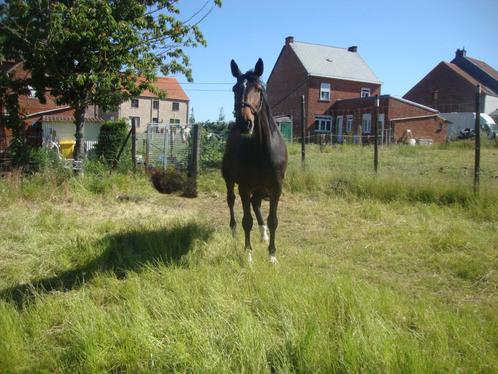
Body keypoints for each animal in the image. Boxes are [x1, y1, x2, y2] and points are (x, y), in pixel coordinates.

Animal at [223, 58, 288, 262]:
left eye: (259, 89)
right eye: (235, 88)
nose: (245, 124)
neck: (262, 149)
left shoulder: (275, 187)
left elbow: (273, 220)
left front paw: (272, 256)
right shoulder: (244, 186)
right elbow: (247, 221)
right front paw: (248, 255)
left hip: (261, 187)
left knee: (256, 203)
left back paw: (263, 234)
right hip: (230, 180)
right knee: (231, 200)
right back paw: (233, 231)